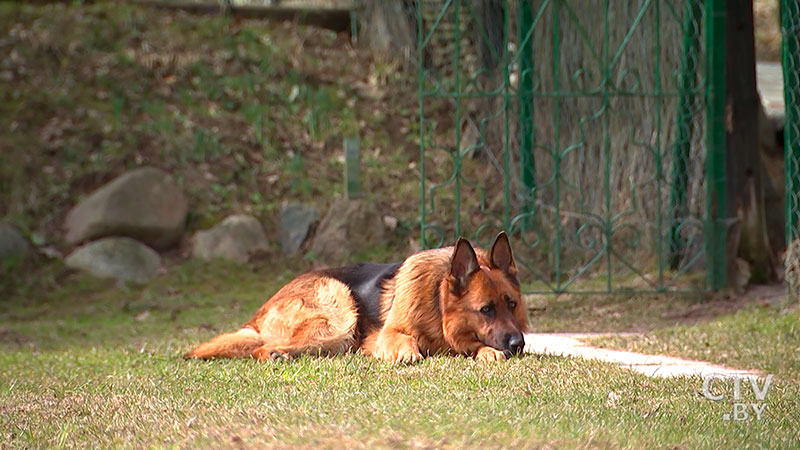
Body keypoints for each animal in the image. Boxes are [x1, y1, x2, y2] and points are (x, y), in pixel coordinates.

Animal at [184, 232, 528, 362]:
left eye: (511, 304)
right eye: (485, 309)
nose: (518, 344)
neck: (438, 307)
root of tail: (257, 317)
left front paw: (488, 352)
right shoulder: (388, 333)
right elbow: (405, 341)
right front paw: (407, 352)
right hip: (341, 313)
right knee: (262, 349)